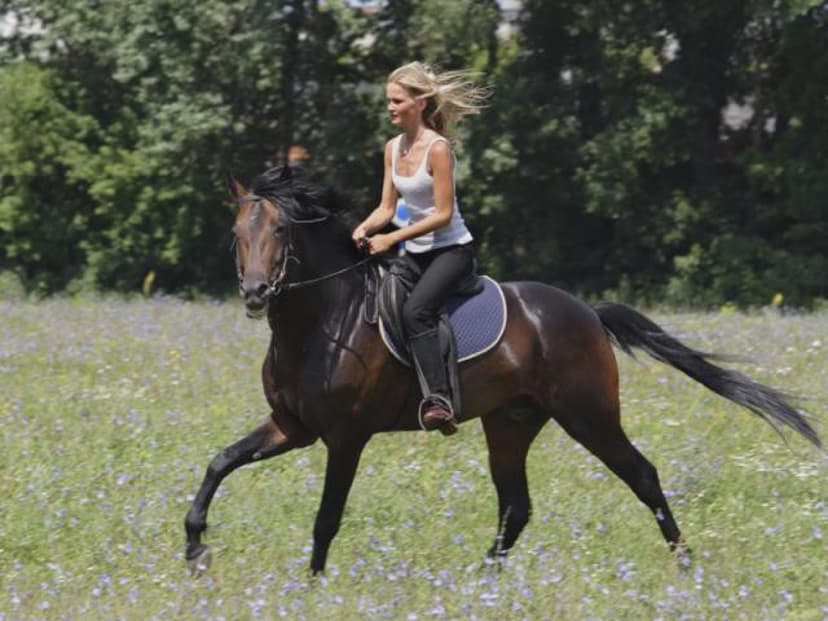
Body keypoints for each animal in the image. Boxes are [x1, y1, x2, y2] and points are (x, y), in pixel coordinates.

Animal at [184, 165, 821, 575]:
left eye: (281, 231)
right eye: (238, 234)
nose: (255, 294)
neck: (321, 321)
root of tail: (586, 311)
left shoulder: (344, 437)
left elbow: (326, 517)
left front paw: (312, 584)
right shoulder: (293, 427)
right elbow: (219, 463)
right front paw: (194, 550)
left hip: (588, 415)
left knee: (642, 475)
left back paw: (685, 563)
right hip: (512, 422)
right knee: (516, 505)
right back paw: (481, 578)